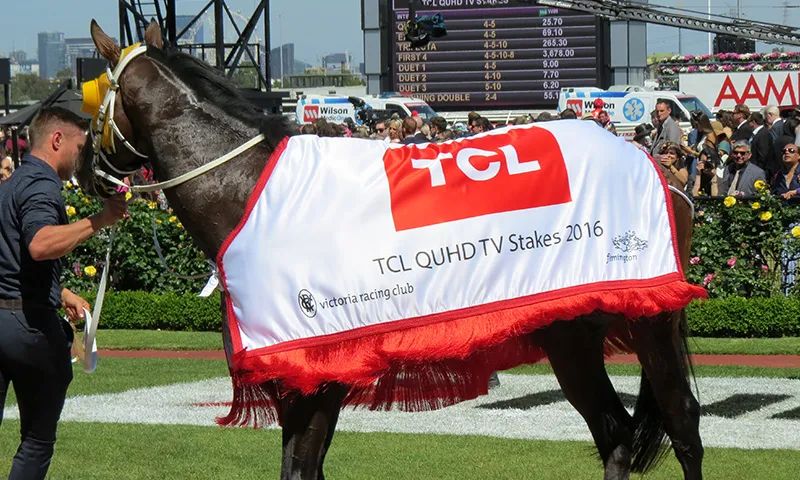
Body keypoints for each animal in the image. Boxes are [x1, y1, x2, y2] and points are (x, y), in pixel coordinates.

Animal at [77, 20, 704, 480]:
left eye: (87, 100)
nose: (82, 167)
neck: (250, 188)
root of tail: (660, 170)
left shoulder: (315, 366)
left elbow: (300, 467)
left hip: (650, 320)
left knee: (683, 424)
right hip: (570, 332)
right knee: (615, 434)